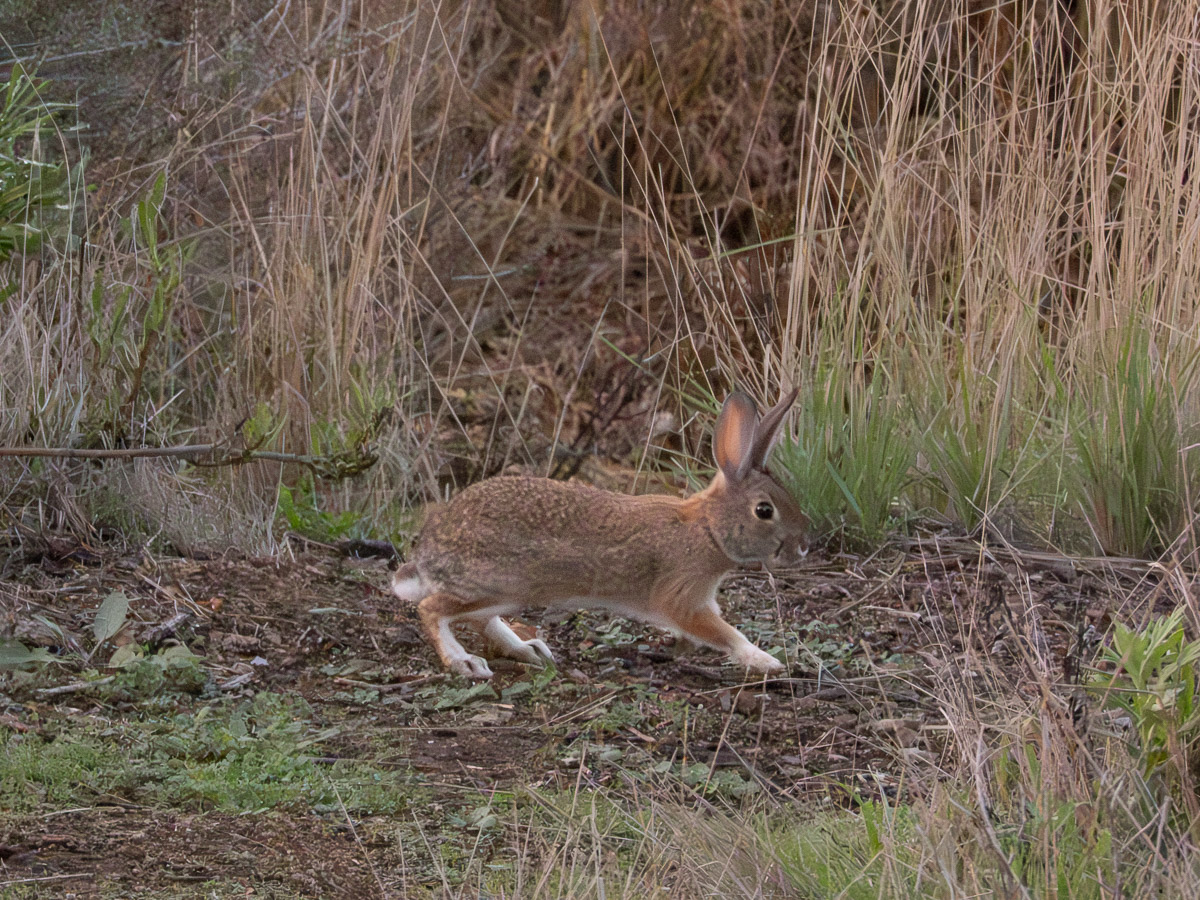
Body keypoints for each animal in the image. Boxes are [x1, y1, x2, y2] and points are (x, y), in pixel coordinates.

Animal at [392, 390, 808, 679]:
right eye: (764, 511)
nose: (802, 547)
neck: (707, 528)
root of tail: (429, 552)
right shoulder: (681, 599)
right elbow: (724, 633)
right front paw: (766, 661)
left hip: (511, 594)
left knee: (479, 619)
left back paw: (529, 650)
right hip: (500, 583)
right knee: (430, 609)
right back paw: (463, 662)